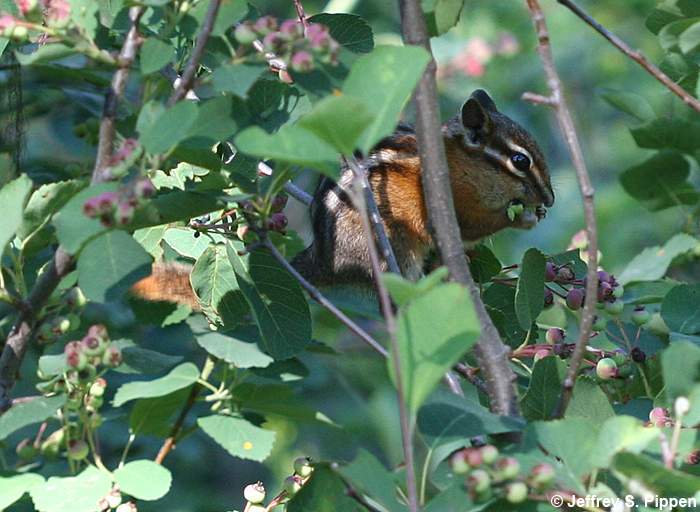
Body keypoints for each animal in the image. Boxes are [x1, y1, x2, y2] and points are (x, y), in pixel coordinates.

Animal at [131, 89, 554, 304]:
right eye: (521, 160)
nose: (549, 199)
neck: (458, 163)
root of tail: (324, 260)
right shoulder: (454, 204)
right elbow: (473, 225)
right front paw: (522, 218)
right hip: (393, 247)